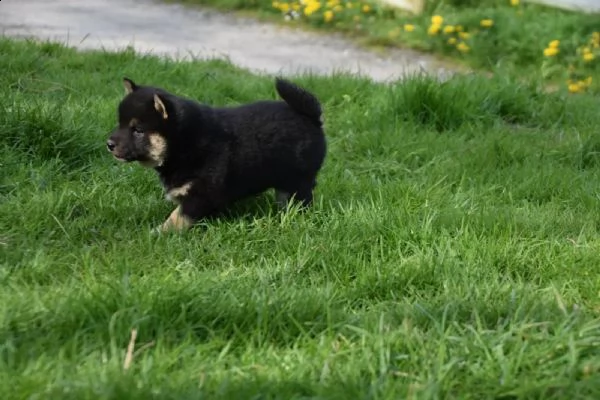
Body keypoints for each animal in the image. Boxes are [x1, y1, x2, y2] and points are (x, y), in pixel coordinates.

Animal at [105, 77, 326, 233]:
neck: (184, 142)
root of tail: (311, 117)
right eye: (120, 124)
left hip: (298, 179)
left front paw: (158, 233)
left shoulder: (200, 192)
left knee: (301, 199)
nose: (109, 144)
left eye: (138, 130)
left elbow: (177, 218)